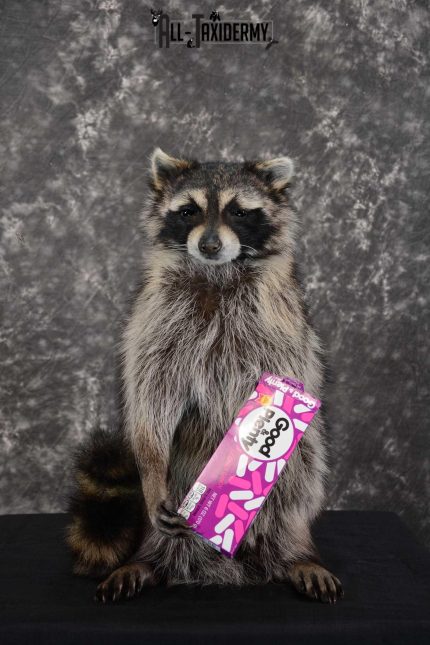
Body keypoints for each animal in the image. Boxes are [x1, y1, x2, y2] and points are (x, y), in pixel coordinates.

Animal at [66, 148, 343, 604]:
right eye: (189, 210)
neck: (216, 272)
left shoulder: (277, 317)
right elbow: (151, 392)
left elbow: (285, 381)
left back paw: (295, 551)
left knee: (300, 476)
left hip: (297, 473)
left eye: (238, 211)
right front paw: (151, 463)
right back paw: (149, 560)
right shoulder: (156, 314)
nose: (209, 244)